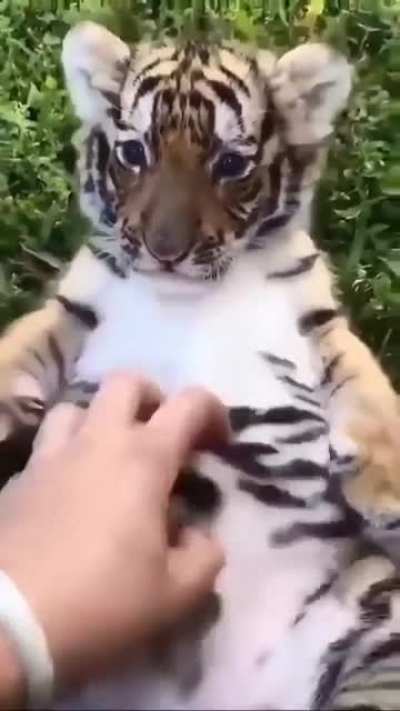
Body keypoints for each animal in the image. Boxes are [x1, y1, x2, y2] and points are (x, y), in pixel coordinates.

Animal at [2, 20, 400, 710]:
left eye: (232, 165)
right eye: (134, 153)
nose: (165, 250)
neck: (190, 295)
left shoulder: (319, 324)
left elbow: (371, 391)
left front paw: (383, 485)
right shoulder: (74, 311)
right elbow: (17, 346)